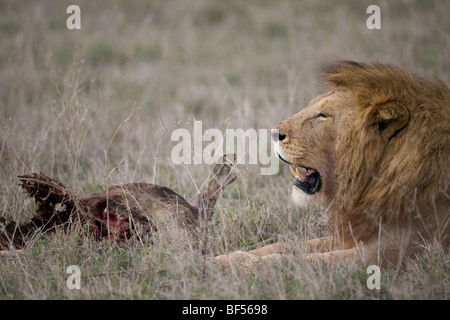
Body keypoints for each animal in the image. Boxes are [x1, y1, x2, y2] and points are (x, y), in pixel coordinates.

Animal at [216, 60, 448, 270]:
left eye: (323, 115)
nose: (273, 133)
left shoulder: (392, 253)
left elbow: (299, 260)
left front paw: (245, 265)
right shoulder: (351, 235)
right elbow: (286, 245)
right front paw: (225, 259)